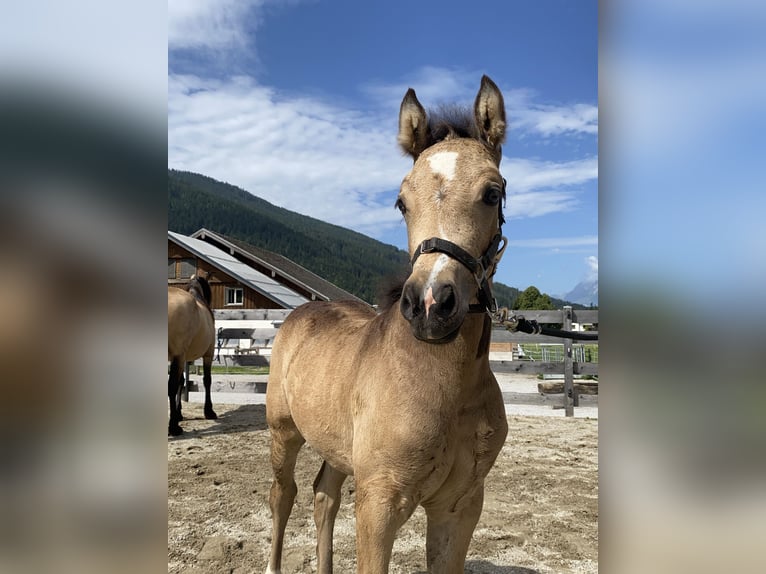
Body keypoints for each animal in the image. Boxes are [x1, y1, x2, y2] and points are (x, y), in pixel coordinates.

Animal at [167, 274, 216, 436]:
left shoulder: (182, 358)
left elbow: (181, 382)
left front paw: (179, 413)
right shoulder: (208, 354)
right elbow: (207, 380)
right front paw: (209, 411)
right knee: (170, 386)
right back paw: (173, 427)